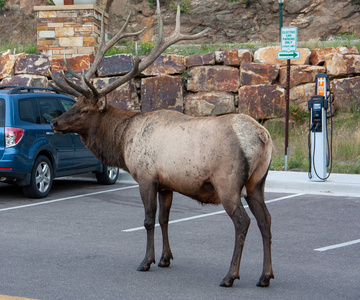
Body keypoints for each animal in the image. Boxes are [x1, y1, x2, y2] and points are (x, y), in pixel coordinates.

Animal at [50, 0, 272, 288]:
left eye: (85, 110)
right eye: (74, 104)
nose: (55, 123)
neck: (122, 142)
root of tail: (262, 136)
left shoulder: (146, 176)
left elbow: (147, 220)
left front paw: (146, 261)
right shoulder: (166, 183)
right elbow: (164, 219)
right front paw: (166, 258)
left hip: (228, 182)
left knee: (242, 222)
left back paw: (230, 275)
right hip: (257, 182)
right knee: (265, 220)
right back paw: (265, 276)